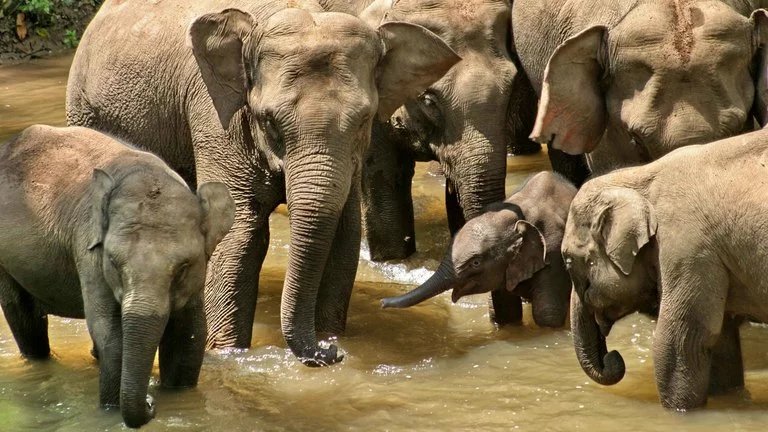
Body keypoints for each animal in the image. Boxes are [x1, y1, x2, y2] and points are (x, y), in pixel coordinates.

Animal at [0, 125, 235, 428]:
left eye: (184, 266)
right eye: (112, 261)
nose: (151, 403)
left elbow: (188, 335)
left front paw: (177, 399)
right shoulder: (88, 250)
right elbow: (109, 332)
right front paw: (112, 411)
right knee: (23, 318)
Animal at [66, 0, 459, 365]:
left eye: (364, 120)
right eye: (269, 120)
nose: (331, 354)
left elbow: (344, 234)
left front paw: (332, 337)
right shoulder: (214, 114)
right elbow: (240, 236)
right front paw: (228, 354)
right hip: (86, 110)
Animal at [560, 127, 768, 410]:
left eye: (568, 261)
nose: (614, 357)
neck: (639, 177)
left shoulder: (687, 249)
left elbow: (680, 341)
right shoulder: (710, 259)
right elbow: (721, 341)